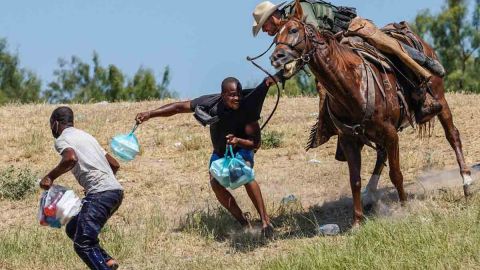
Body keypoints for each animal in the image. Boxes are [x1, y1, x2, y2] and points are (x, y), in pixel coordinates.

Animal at [270, 0, 472, 226]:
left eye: (293, 30)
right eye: (275, 37)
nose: (276, 57)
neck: (352, 85)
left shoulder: (391, 133)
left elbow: (396, 174)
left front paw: (405, 207)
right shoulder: (349, 139)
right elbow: (355, 180)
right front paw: (357, 221)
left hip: (440, 100)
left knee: (452, 135)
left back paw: (467, 182)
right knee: (381, 153)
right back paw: (370, 193)